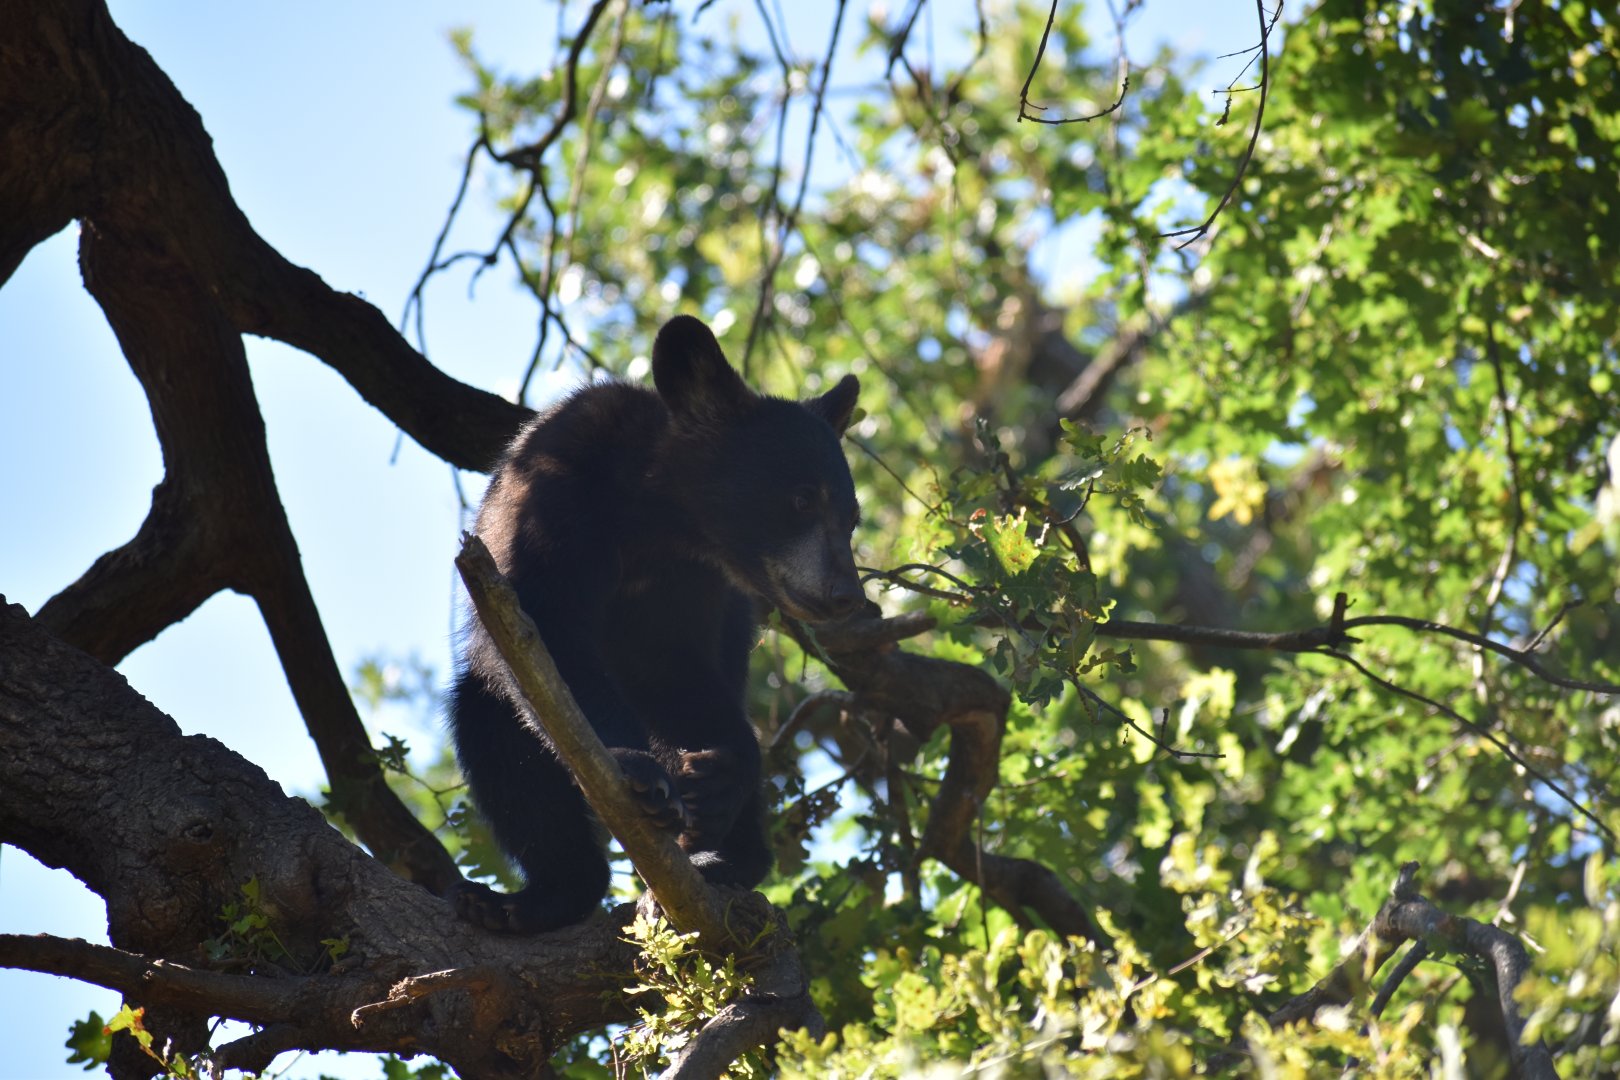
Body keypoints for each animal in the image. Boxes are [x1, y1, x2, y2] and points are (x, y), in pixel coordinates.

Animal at [449, 314, 864, 933]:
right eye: (801, 499)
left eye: (852, 516)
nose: (846, 594)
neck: (656, 515)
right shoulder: (553, 497)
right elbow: (546, 633)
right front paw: (636, 766)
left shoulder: (692, 584)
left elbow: (670, 665)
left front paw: (717, 784)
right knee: (495, 734)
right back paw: (530, 899)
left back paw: (726, 855)